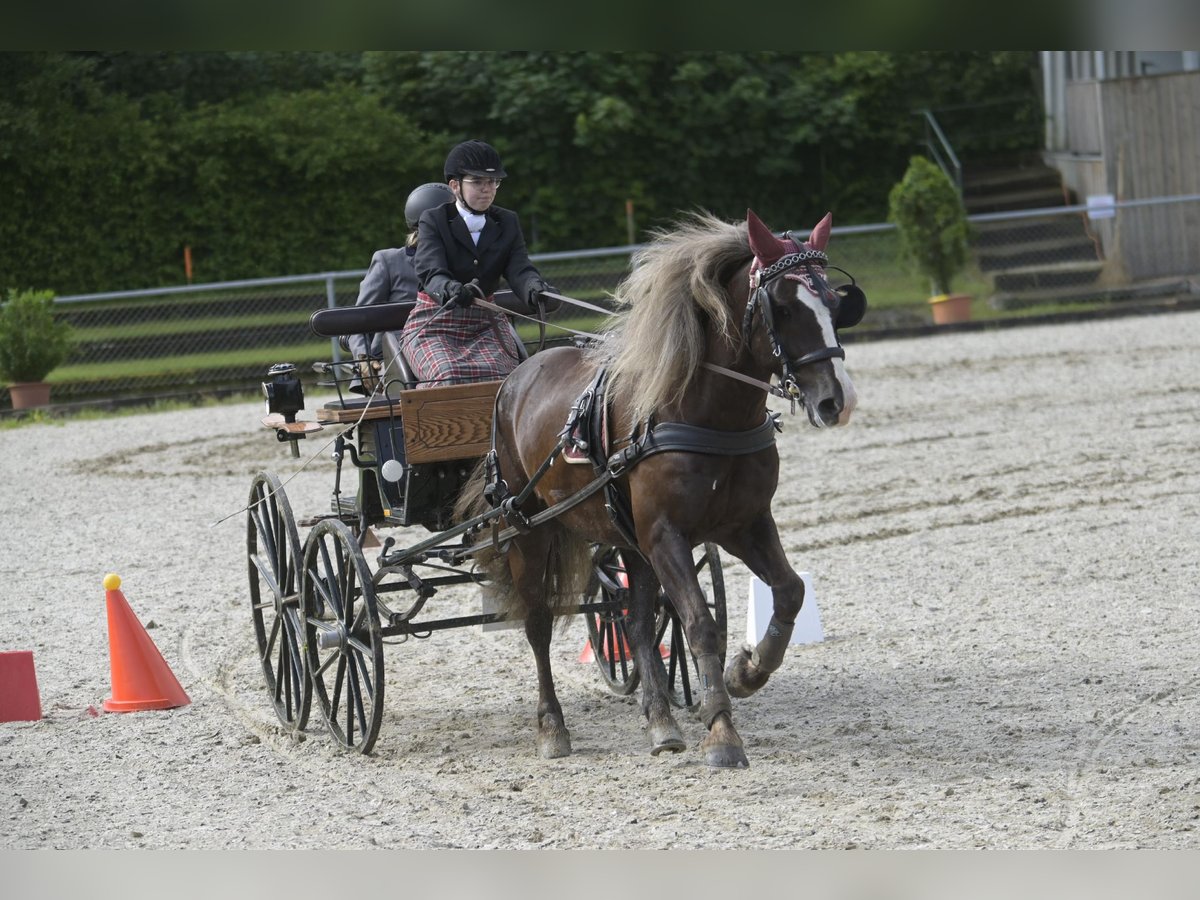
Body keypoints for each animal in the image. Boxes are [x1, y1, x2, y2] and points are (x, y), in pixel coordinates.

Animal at [458, 210, 864, 768]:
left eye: (835, 304)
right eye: (781, 306)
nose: (836, 401)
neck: (705, 412)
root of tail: (518, 375)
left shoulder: (743, 523)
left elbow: (789, 591)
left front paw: (747, 671)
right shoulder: (665, 534)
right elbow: (699, 624)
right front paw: (722, 732)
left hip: (628, 540)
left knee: (636, 624)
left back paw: (660, 721)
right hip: (529, 529)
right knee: (538, 622)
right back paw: (552, 727)